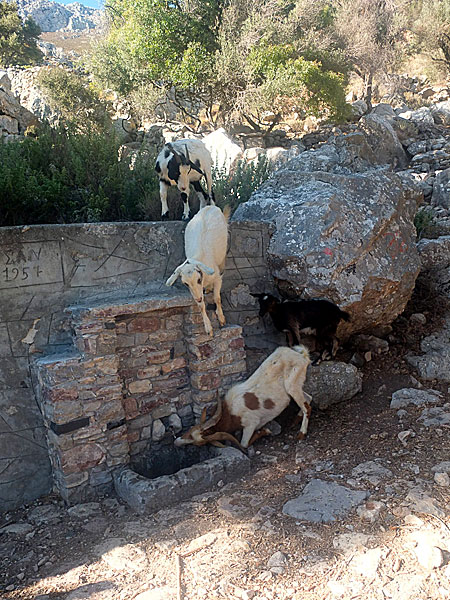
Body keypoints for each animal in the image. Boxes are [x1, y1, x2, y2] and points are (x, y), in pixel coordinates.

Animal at [166, 205, 230, 338]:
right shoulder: (195, 291)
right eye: (185, 284)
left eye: (199, 279)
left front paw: (221, 319)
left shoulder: (217, 278)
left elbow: (217, 298)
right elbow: (201, 306)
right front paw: (208, 328)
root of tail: (210, 206)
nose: (199, 298)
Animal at [174, 342, 312, 450]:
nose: (176, 442)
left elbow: (244, 444)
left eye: (192, 437)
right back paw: (295, 420)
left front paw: (265, 431)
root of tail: (302, 356)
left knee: (307, 407)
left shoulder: (251, 423)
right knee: (308, 398)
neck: (231, 413)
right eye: (190, 434)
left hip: (292, 386)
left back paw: (301, 433)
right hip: (296, 387)